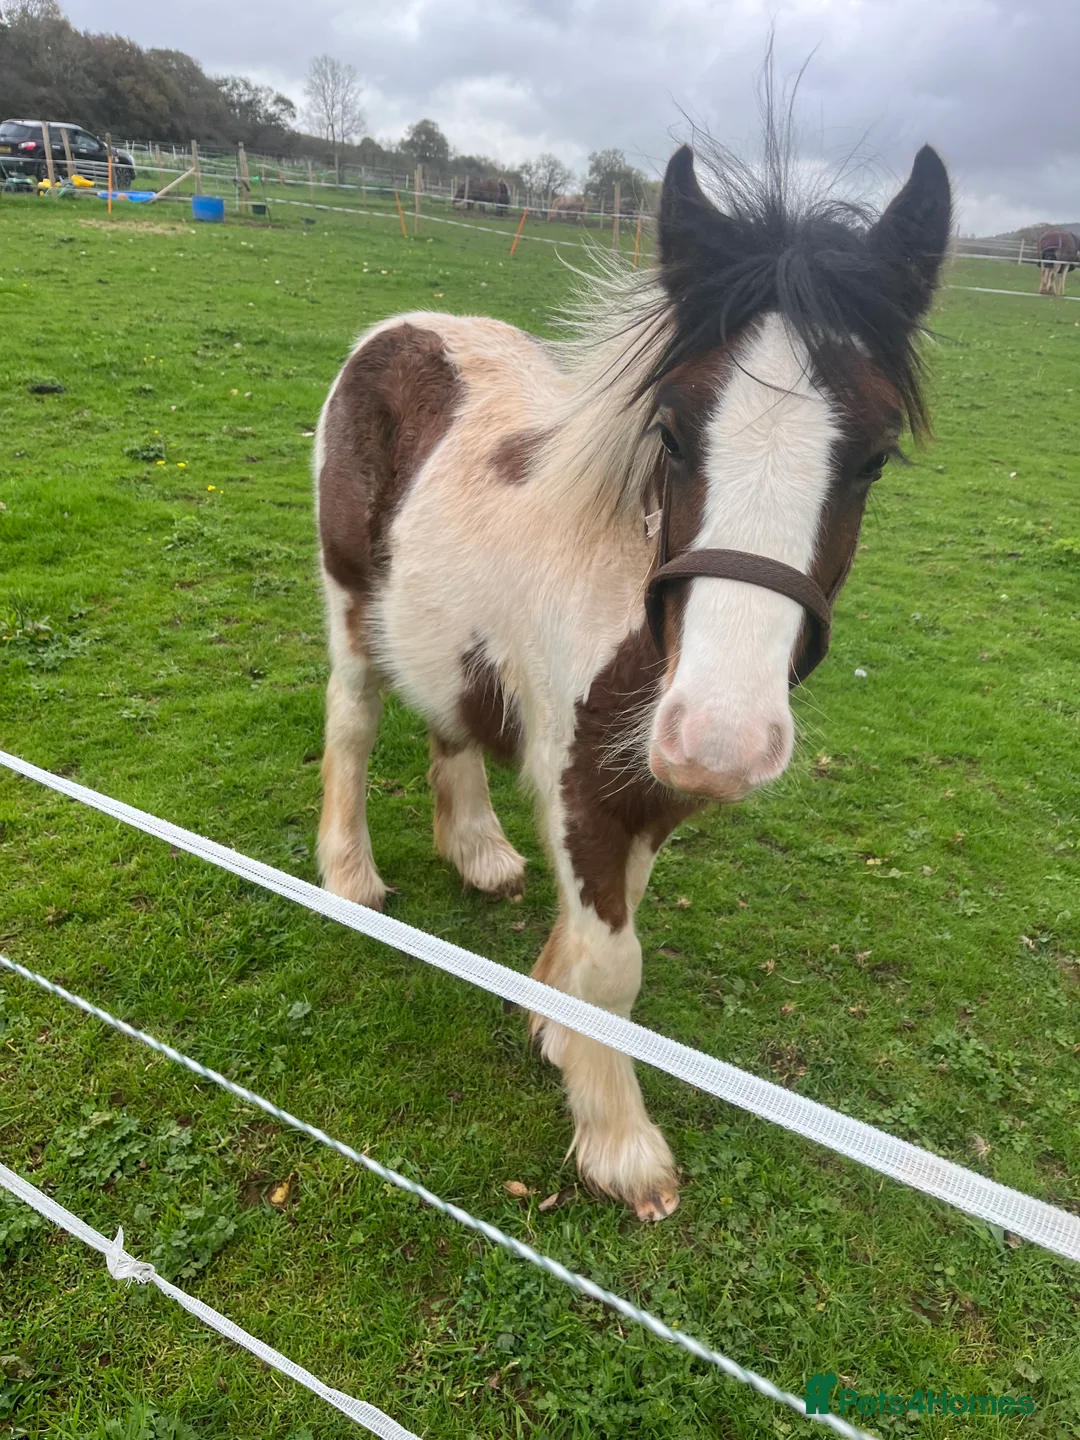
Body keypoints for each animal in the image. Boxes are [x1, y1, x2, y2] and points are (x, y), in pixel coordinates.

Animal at [314, 138, 952, 1220]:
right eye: (673, 432)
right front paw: (619, 1145)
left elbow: (598, 941)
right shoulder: (585, 786)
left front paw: (553, 1024)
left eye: (872, 458)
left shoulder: (648, 794)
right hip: (353, 607)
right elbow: (616, 966)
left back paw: (478, 851)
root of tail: (401, 328)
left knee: (450, 718)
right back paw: (350, 876)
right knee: (354, 721)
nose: (722, 741)